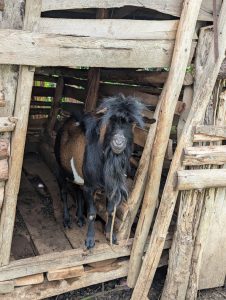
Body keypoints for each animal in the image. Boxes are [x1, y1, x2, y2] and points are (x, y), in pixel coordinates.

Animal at [54, 94, 154, 248]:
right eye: (110, 119)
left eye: (132, 122)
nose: (118, 142)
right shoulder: (90, 187)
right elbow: (92, 213)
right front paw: (89, 241)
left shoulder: (110, 188)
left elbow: (111, 212)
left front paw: (110, 236)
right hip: (60, 168)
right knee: (64, 193)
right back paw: (66, 220)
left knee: (77, 191)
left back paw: (79, 218)